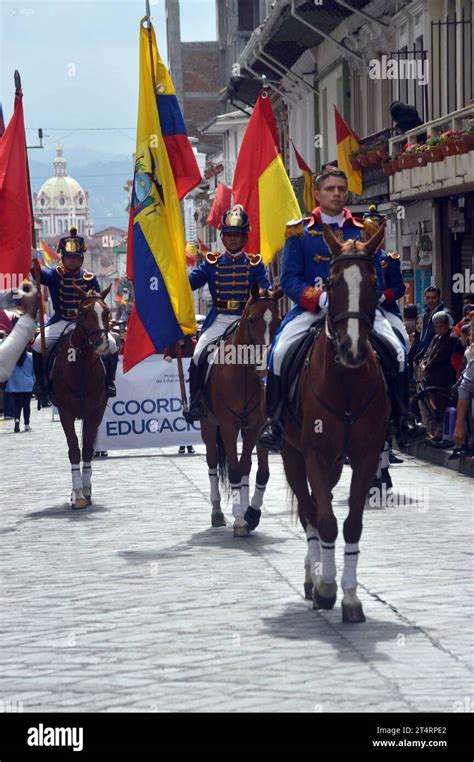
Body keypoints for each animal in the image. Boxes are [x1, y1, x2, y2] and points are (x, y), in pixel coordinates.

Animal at [49, 284, 114, 510]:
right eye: (84, 312)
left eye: (106, 311)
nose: (102, 345)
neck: (82, 365)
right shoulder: (65, 411)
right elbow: (74, 449)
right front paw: (77, 495)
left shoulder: (96, 411)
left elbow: (86, 449)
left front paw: (85, 490)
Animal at [199, 280, 282, 536]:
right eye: (252, 320)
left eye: (279, 319)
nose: (265, 364)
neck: (243, 371)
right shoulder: (227, 425)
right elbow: (235, 468)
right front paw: (238, 518)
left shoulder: (256, 425)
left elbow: (251, 468)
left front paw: (248, 514)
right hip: (208, 425)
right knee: (212, 461)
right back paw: (217, 512)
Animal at [282, 223, 388, 620]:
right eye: (331, 282)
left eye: (373, 281)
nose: (352, 350)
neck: (346, 383)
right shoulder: (313, 453)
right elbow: (324, 521)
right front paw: (327, 588)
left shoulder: (366, 456)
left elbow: (352, 524)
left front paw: (352, 597)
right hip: (291, 454)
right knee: (310, 511)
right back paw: (313, 578)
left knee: (318, 501)